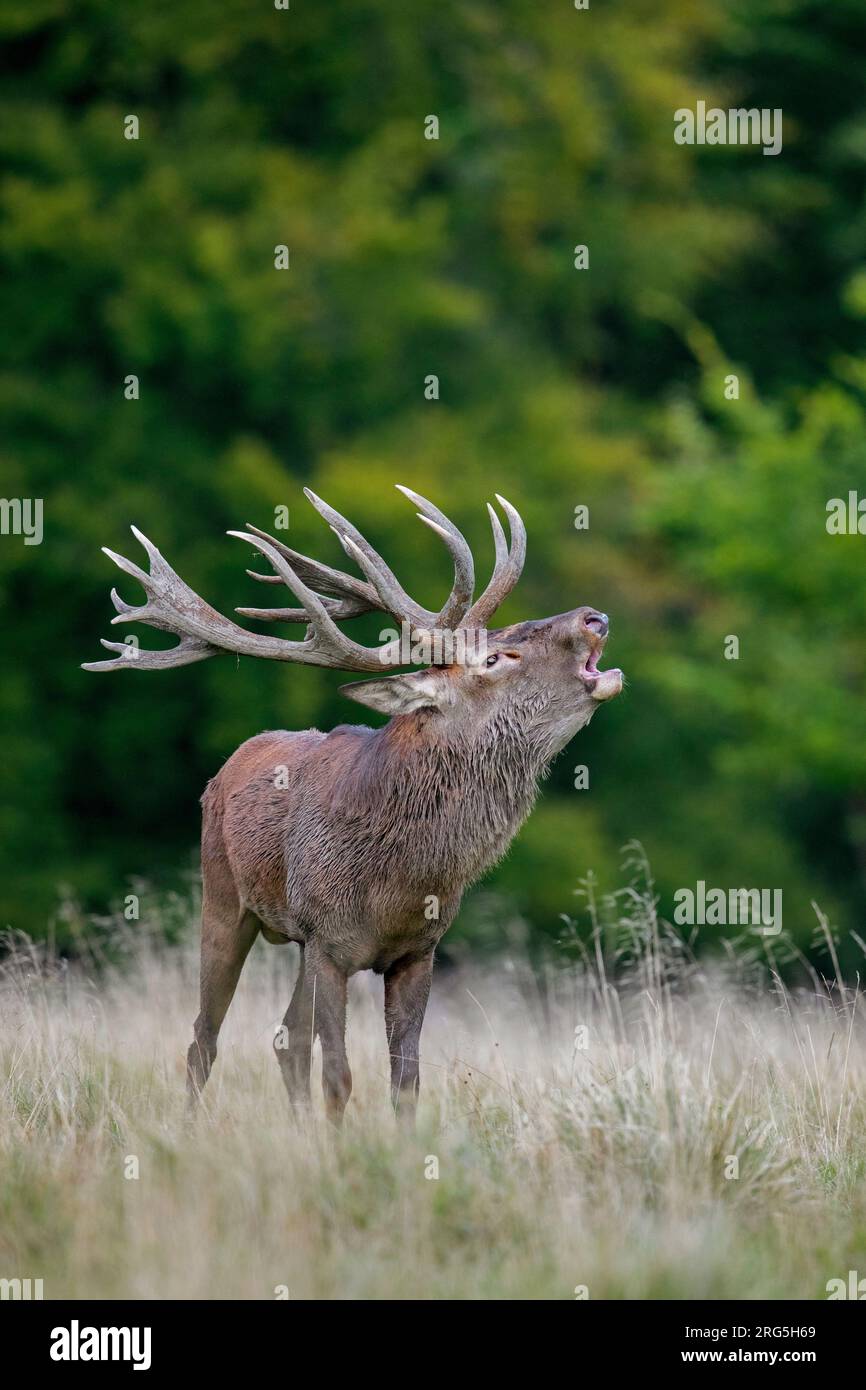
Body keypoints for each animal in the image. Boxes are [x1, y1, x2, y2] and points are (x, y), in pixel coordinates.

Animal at [83, 483, 622, 1123]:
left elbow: (405, 1082)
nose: (593, 618)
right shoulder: (328, 942)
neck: (400, 882)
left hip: (297, 941)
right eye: (494, 659)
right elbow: (338, 1076)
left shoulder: (417, 951)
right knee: (203, 1039)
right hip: (224, 899)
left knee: (286, 1037)